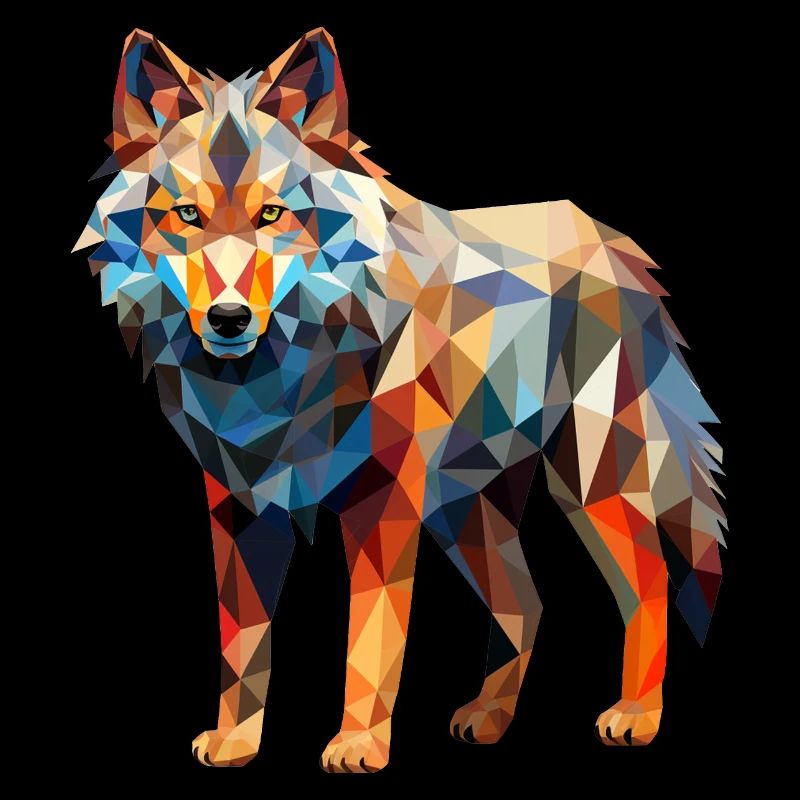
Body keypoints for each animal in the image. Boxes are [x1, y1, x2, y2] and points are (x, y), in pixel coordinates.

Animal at [74, 28, 725, 770]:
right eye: (186, 215)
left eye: (273, 215)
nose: (229, 319)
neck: (280, 384)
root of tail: (613, 243)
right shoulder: (239, 513)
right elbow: (241, 651)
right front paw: (236, 741)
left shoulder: (380, 510)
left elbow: (369, 645)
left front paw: (358, 744)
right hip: (464, 512)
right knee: (528, 602)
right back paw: (490, 718)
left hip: (589, 485)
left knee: (650, 581)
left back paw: (636, 716)